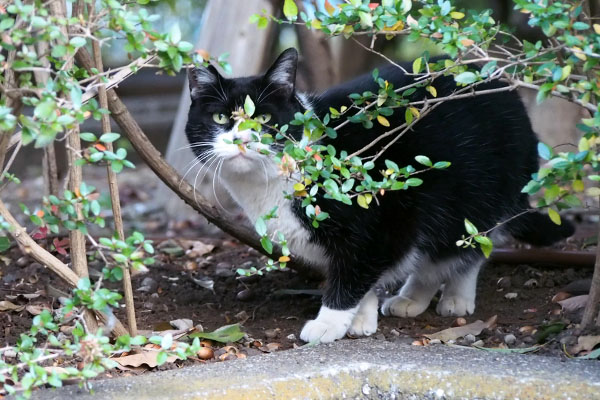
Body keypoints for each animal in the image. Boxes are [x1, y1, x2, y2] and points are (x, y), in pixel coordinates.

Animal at [185, 48, 576, 342]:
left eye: (264, 119)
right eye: (220, 118)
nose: (241, 140)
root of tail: (501, 83)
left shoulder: (380, 219)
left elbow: (354, 272)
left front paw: (330, 322)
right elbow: (363, 275)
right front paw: (362, 318)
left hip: (481, 195)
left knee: (470, 246)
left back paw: (456, 296)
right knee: (432, 252)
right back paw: (411, 299)